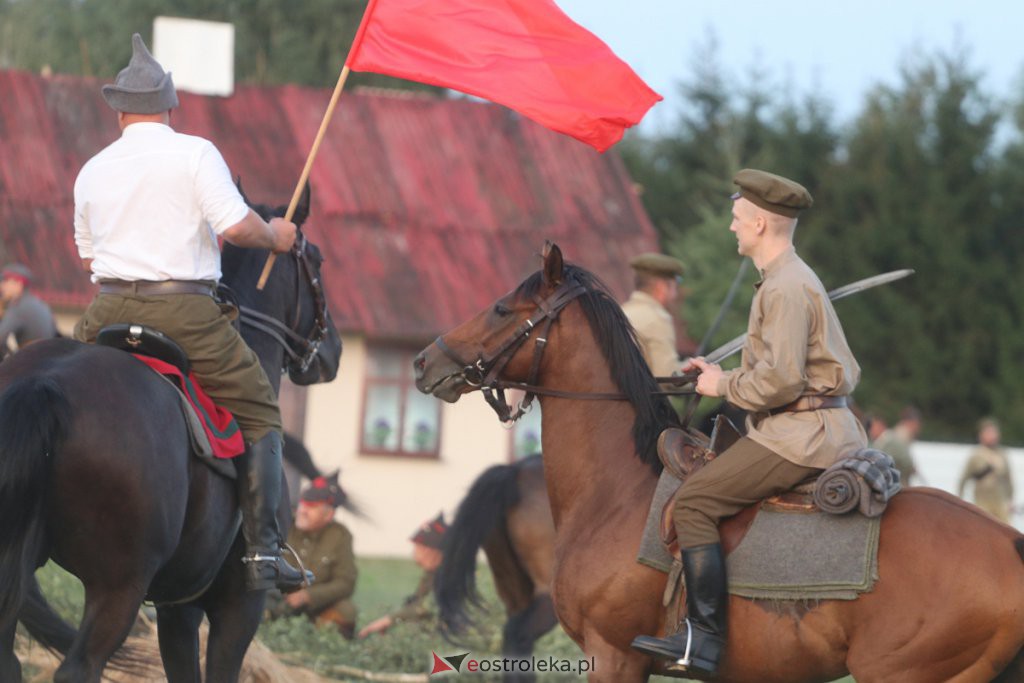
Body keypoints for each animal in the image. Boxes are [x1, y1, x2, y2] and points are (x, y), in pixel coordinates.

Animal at [0, 187, 344, 683]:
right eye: (315, 259)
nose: (333, 349)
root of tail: (43, 384)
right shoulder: (237, 606)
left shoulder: (176, 604)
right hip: (118, 587)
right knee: (79, 667)